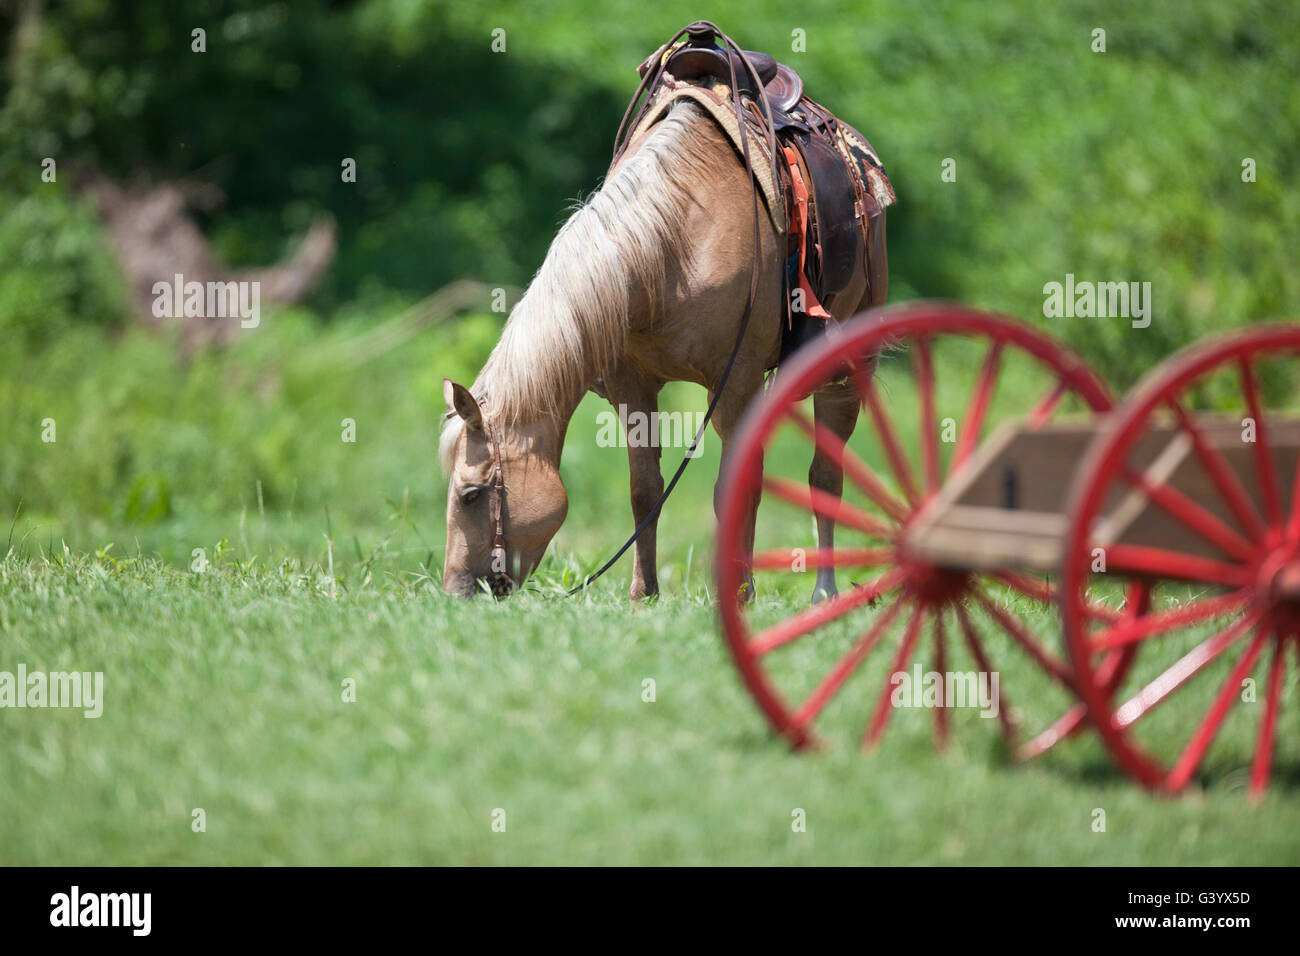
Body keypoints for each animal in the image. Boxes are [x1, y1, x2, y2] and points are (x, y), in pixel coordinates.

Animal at [440, 96, 888, 600]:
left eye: (471, 495)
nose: (454, 591)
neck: (674, 247)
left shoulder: (737, 381)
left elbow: (736, 488)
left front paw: (738, 593)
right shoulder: (633, 385)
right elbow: (645, 491)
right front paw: (644, 593)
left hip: (845, 371)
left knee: (825, 476)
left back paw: (825, 592)